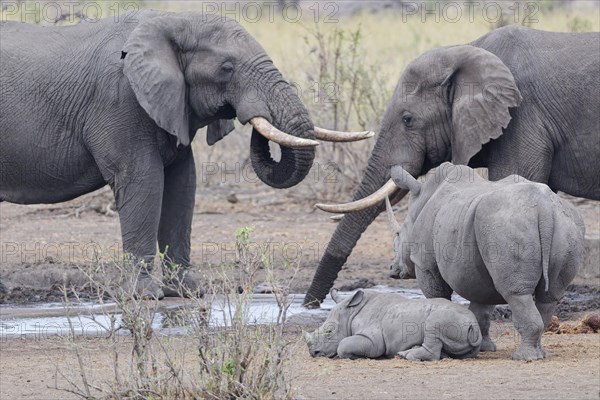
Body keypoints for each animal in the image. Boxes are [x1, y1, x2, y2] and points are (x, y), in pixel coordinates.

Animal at [0, 10, 372, 300]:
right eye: (226, 68)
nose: (250, 114)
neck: (173, 22)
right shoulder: (119, 100)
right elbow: (144, 180)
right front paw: (145, 296)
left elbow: (183, 184)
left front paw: (187, 292)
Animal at [302, 290, 480, 360]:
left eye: (329, 331)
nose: (313, 353)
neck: (350, 313)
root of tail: (475, 327)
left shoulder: (373, 341)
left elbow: (343, 344)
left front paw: (355, 356)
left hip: (447, 317)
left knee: (433, 323)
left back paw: (407, 356)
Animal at [384, 161, 584, 360]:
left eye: (398, 235)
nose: (392, 269)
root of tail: (544, 206)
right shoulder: (481, 267)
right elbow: (482, 307)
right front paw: (484, 348)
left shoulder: (425, 264)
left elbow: (438, 298)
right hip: (566, 225)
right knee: (548, 297)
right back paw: (539, 353)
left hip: (507, 225)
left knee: (516, 293)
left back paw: (523, 357)